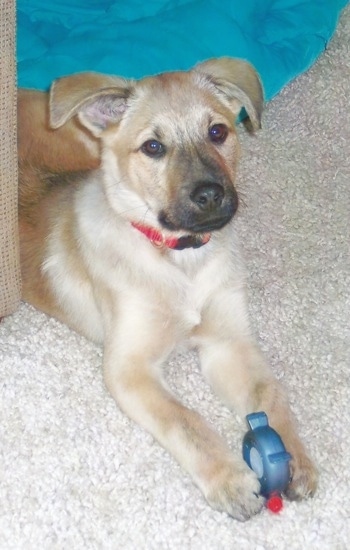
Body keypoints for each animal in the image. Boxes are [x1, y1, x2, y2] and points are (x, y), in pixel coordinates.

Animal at [17, 59, 318, 520]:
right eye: (153, 147)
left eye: (218, 132)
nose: (211, 195)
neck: (179, 261)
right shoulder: (129, 367)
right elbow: (184, 419)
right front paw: (228, 479)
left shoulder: (230, 343)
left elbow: (270, 394)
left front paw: (295, 457)